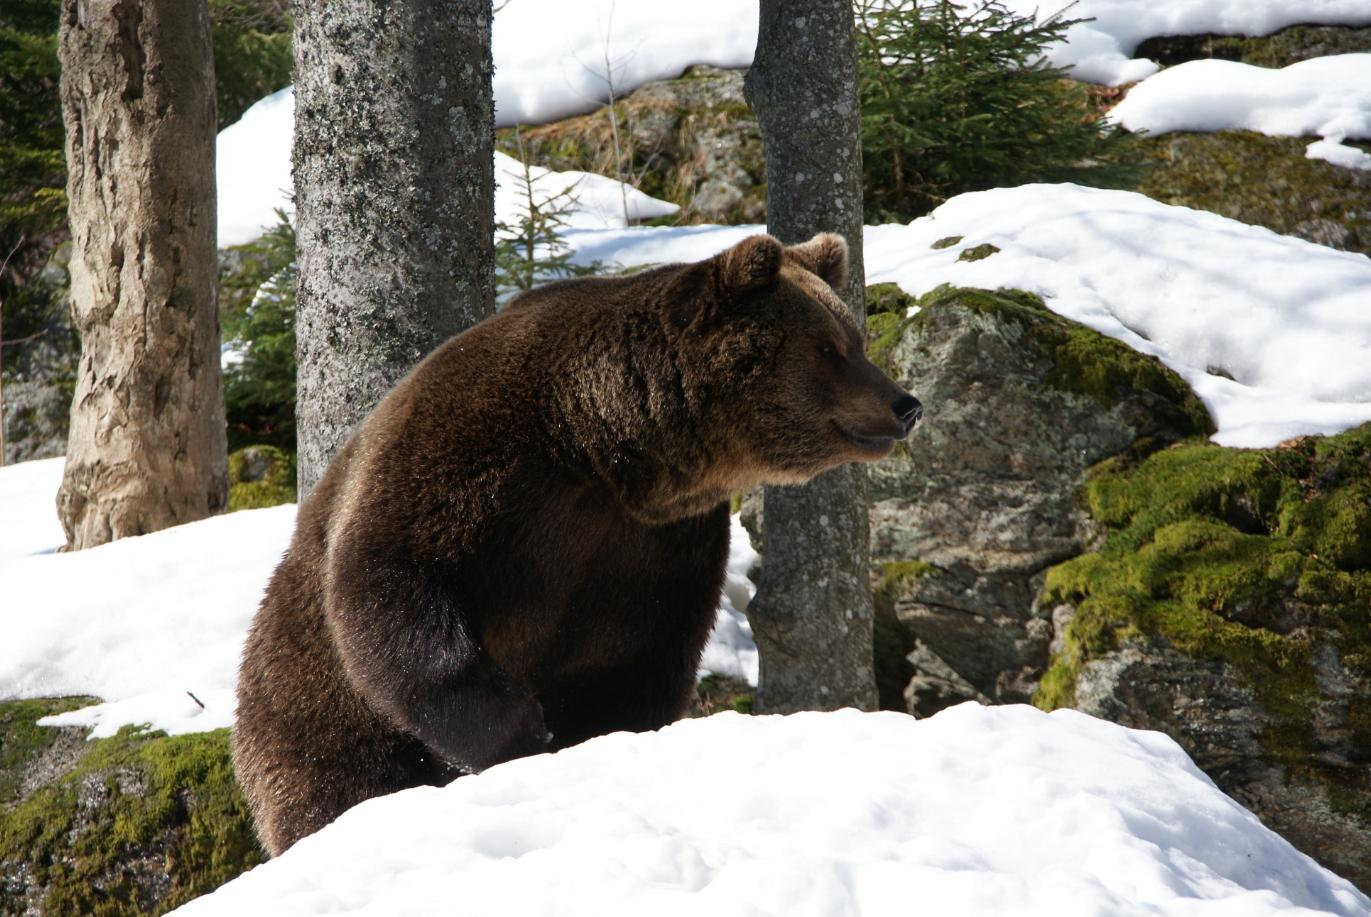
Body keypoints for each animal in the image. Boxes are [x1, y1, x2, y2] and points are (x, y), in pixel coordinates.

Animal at [232, 232, 923, 855]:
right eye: (829, 346)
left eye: (855, 339)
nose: (905, 403)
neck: (600, 443)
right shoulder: (467, 456)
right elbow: (391, 579)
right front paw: (518, 727)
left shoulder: (651, 547)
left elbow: (636, 659)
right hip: (305, 702)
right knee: (331, 780)